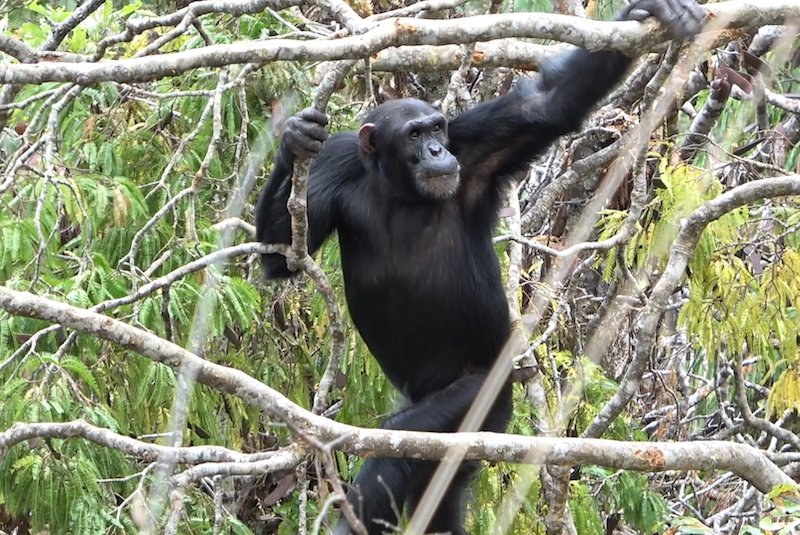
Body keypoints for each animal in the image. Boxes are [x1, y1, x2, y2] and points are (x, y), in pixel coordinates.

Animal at [255, 2, 700, 532]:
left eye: (436, 128)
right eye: (414, 133)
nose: (436, 151)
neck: (398, 187)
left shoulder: (473, 146)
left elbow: (545, 106)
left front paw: (650, 13)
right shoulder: (338, 159)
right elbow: (282, 256)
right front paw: (293, 139)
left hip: (486, 399)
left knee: (403, 441)